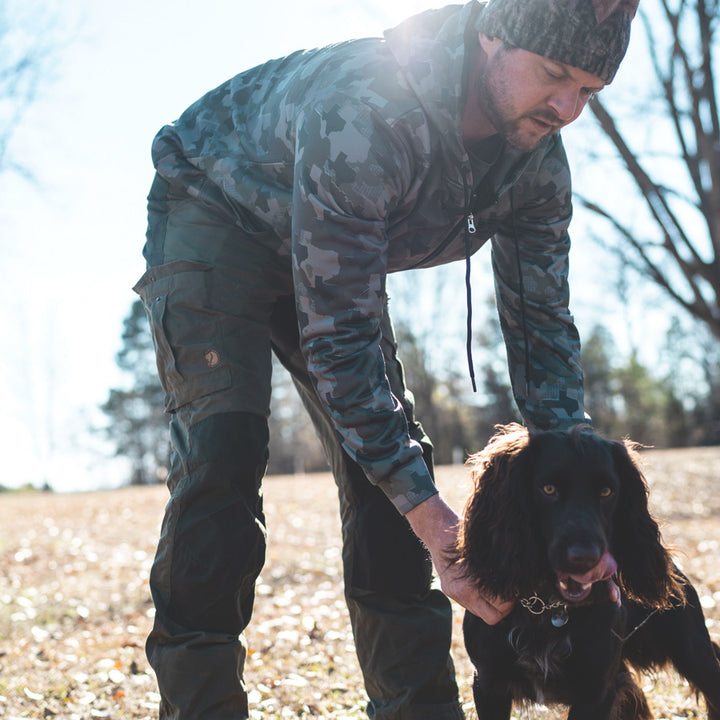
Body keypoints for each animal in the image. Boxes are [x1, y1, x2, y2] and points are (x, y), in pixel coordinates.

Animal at [456, 422, 720, 720]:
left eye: (606, 492)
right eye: (548, 489)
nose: (585, 558)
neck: (548, 608)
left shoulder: (597, 690)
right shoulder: (488, 683)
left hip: (694, 653)